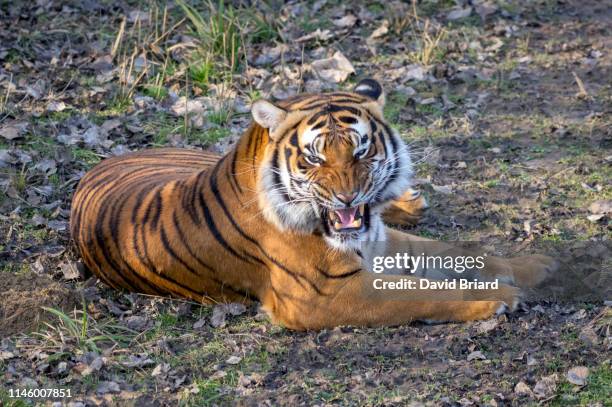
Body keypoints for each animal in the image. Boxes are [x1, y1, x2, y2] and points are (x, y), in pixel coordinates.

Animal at [69, 78, 556, 330]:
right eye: (315, 157)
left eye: (361, 150)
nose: (348, 197)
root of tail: (99, 163)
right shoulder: (322, 295)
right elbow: (420, 292)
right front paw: (499, 298)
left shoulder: (380, 240)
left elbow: (461, 254)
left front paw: (535, 266)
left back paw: (409, 201)